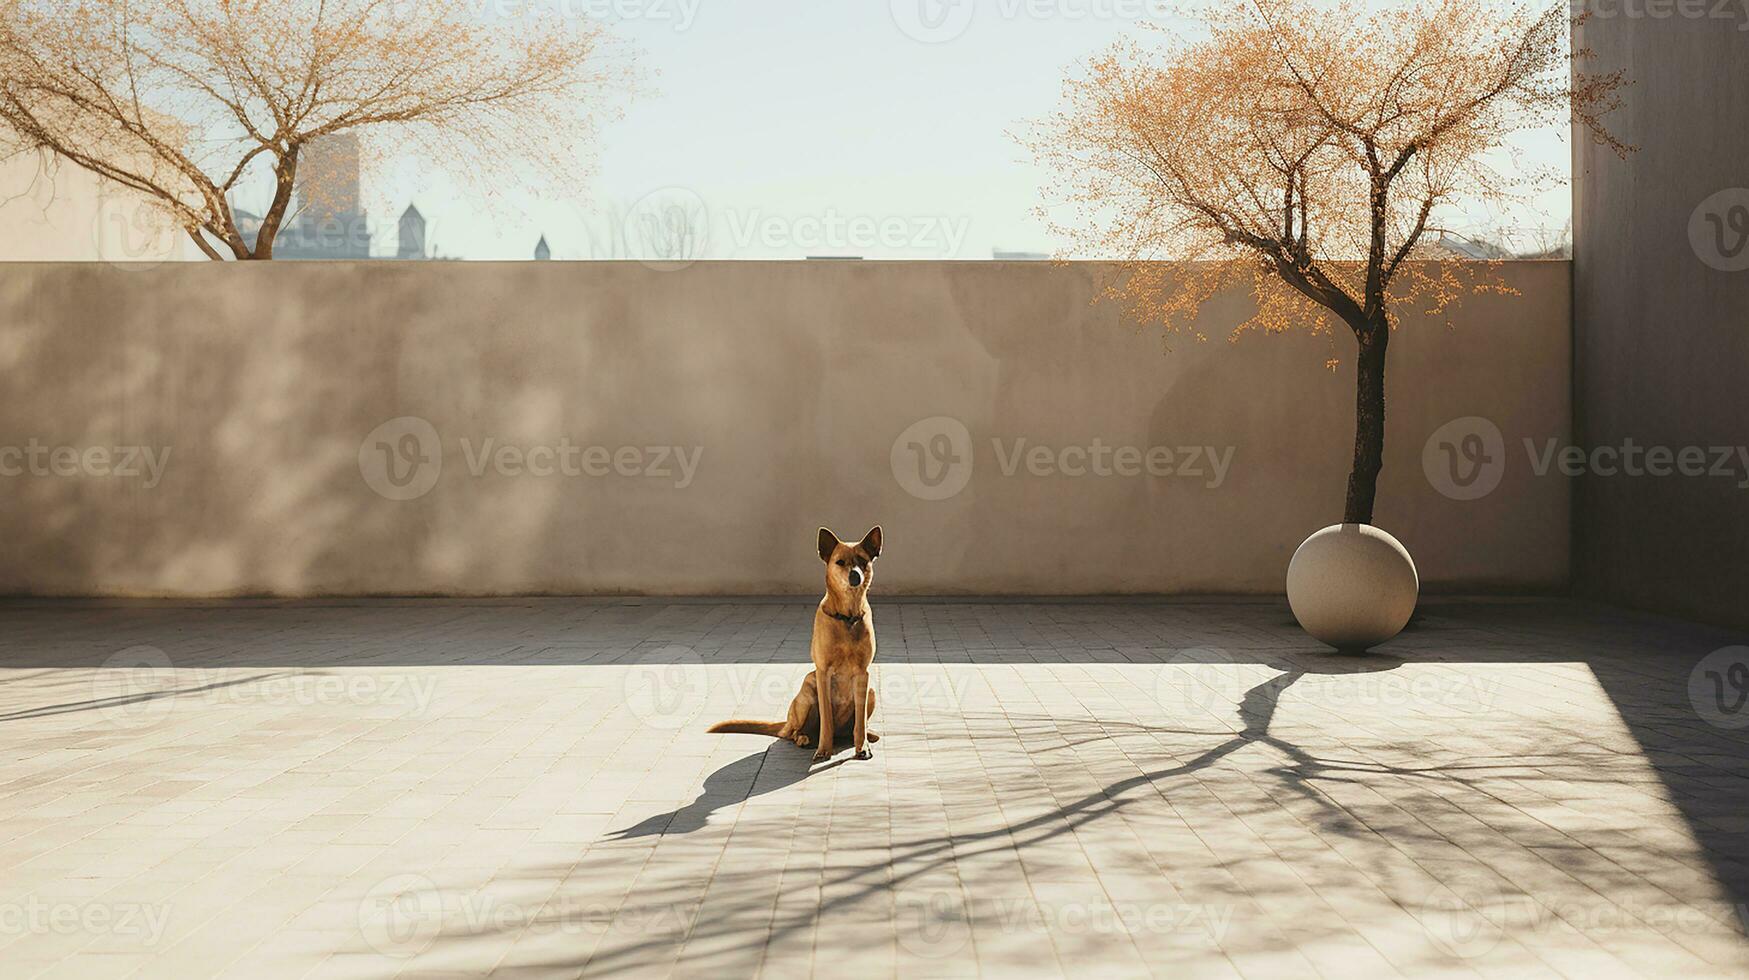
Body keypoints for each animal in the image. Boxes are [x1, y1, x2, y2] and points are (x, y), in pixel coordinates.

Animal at [703, 525, 881, 763]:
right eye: (840, 562)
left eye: (862, 561)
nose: (855, 575)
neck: (847, 618)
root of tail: (786, 722)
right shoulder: (822, 673)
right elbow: (826, 721)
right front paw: (823, 749)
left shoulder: (863, 674)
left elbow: (859, 723)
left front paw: (862, 747)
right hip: (808, 690)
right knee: (794, 732)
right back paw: (805, 738)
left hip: (870, 691)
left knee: (851, 727)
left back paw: (864, 734)